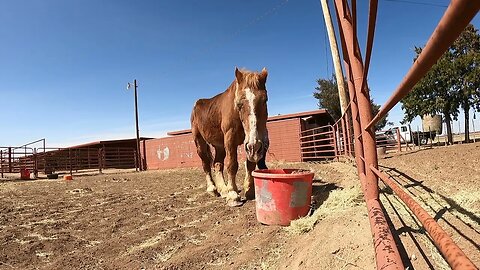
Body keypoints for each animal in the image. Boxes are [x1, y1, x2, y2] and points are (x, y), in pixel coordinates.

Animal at [190, 67, 268, 207]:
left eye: (265, 100)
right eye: (239, 104)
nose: (255, 147)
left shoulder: (252, 142)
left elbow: (250, 165)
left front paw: (249, 191)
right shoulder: (230, 140)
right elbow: (232, 165)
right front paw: (233, 195)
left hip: (220, 146)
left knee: (217, 164)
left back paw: (223, 189)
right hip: (199, 142)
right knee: (206, 164)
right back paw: (213, 189)